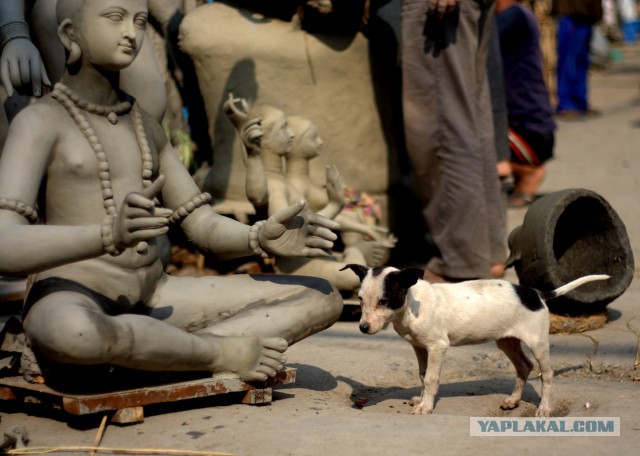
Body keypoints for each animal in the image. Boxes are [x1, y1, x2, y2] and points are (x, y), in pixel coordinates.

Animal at [340, 264, 608, 416]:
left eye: (383, 301)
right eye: (360, 299)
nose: (363, 328)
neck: (411, 306)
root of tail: (536, 293)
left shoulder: (437, 347)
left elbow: (431, 379)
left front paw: (426, 406)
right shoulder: (420, 348)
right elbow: (423, 375)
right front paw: (421, 398)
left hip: (538, 342)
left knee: (547, 374)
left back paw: (543, 408)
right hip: (506, 341)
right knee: (525, 366)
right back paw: (513, 400)